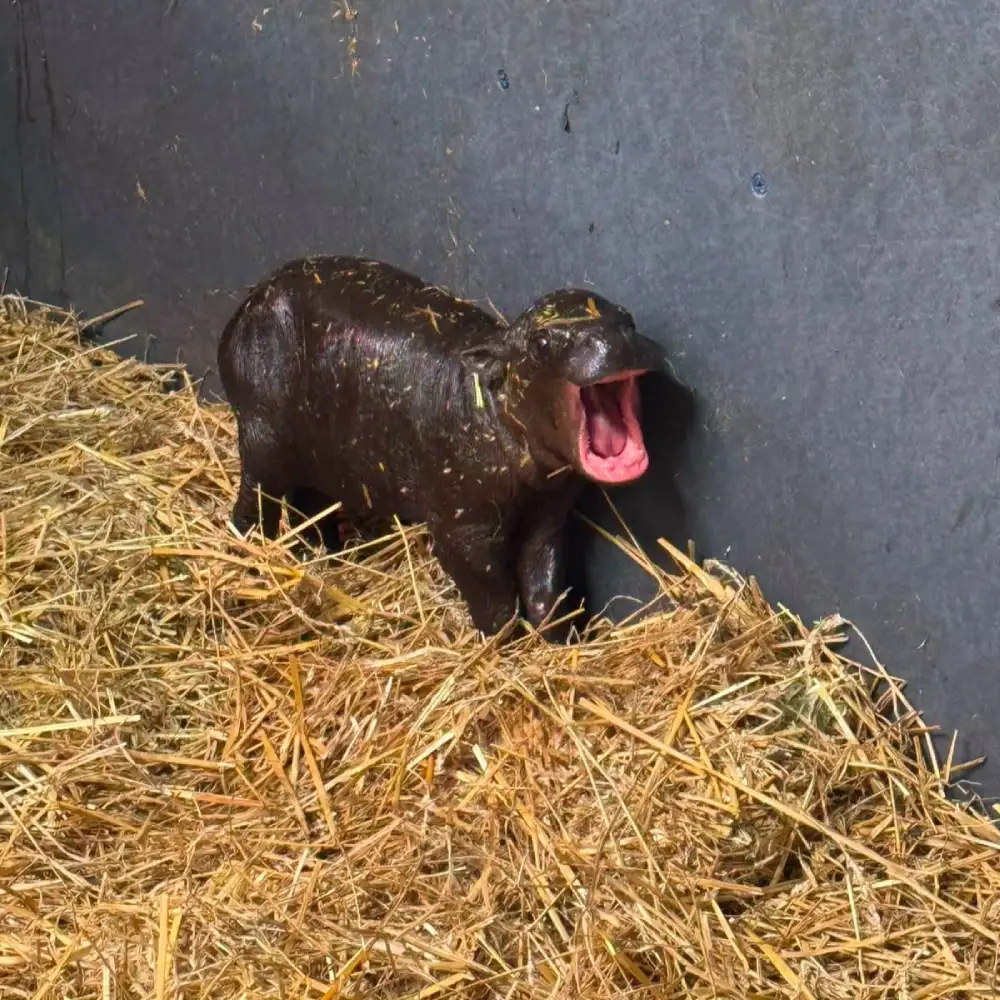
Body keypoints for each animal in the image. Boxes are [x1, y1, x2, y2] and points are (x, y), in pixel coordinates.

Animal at [217, 255, 664, 641]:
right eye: (540, 343)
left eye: (627, 319)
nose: (614, 342)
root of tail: (245, 304)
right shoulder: (460, 529)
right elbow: (495, 597)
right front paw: (501, 649)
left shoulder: (549, 514)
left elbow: (546, 584)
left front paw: (558, 644)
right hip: (263, 438)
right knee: (254, 499)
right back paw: (253, 554)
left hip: (320, 460)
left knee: (309, 507)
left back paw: (326, 557)